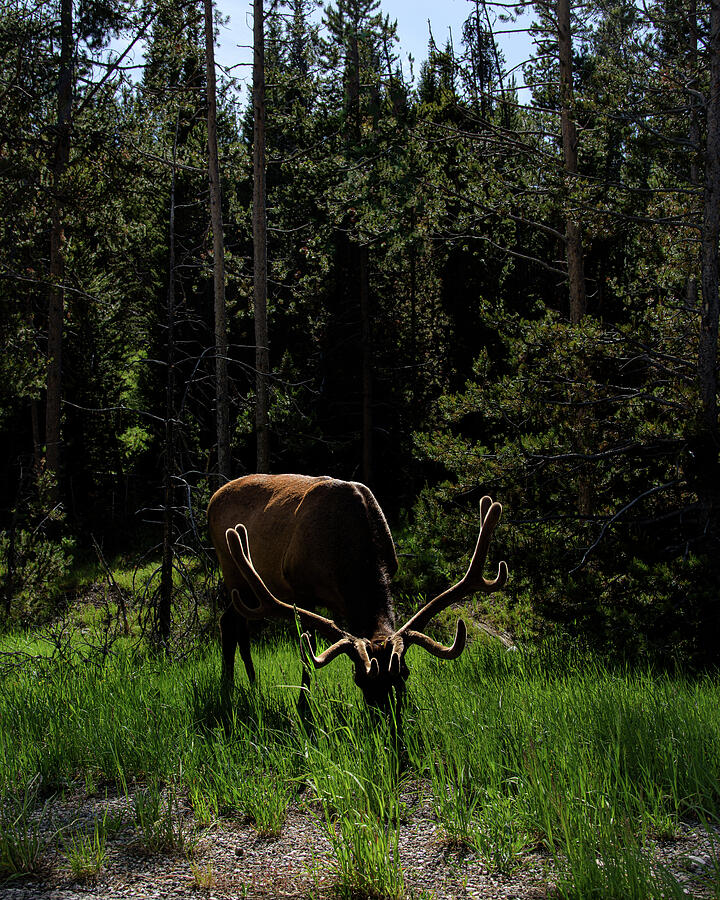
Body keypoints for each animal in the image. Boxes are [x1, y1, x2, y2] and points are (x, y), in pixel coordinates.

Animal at [207, 473, 509, 711]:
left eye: (403, 674)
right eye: (358, 678)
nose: (387, 720)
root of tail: (213, 498)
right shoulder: (301, 591)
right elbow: (308, 652)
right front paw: (303, 706)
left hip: (246, 590)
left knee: (234, 623)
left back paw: (249, 684)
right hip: (233, 572)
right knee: (231, 622)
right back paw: (228, 686)